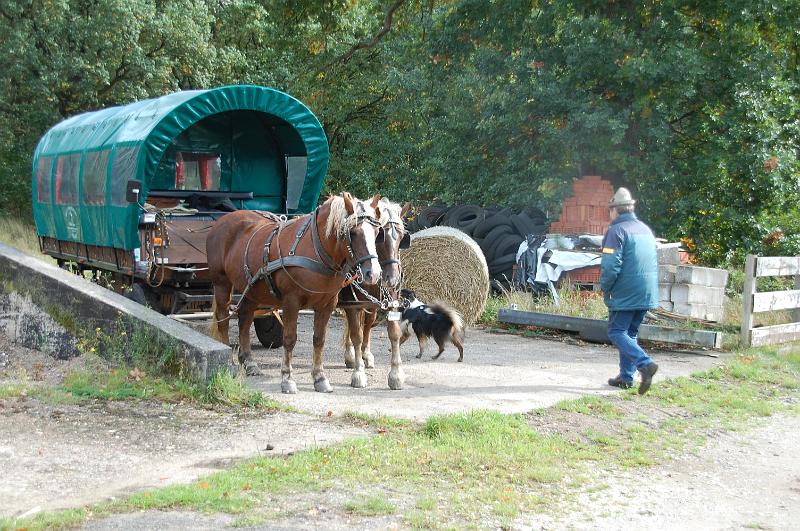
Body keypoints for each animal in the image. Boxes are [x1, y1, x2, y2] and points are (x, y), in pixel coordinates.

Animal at [206, 193, 382, 392]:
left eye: (377, 233)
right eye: (353, 232)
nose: (373, 273)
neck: (316, 249)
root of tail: (222, 221)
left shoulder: (326, 304)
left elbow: (319, 339)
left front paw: (319, 378)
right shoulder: (291, 302)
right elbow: (289, 339)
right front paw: (287, 379)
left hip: (251, 289)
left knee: (245, 319)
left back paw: (249, 362)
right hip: (222, 284)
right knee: (223, 319)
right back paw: (229, 360)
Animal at [340, 200, 410, 390]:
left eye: (401, 237)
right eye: (381, 236)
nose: (392, 279)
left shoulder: (390, 302)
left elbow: (393, 333)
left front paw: (396, 374)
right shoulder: (351, 304)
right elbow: (356, 335)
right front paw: (358, 373)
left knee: (367, 325)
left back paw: (365, 354)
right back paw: (351, 354)